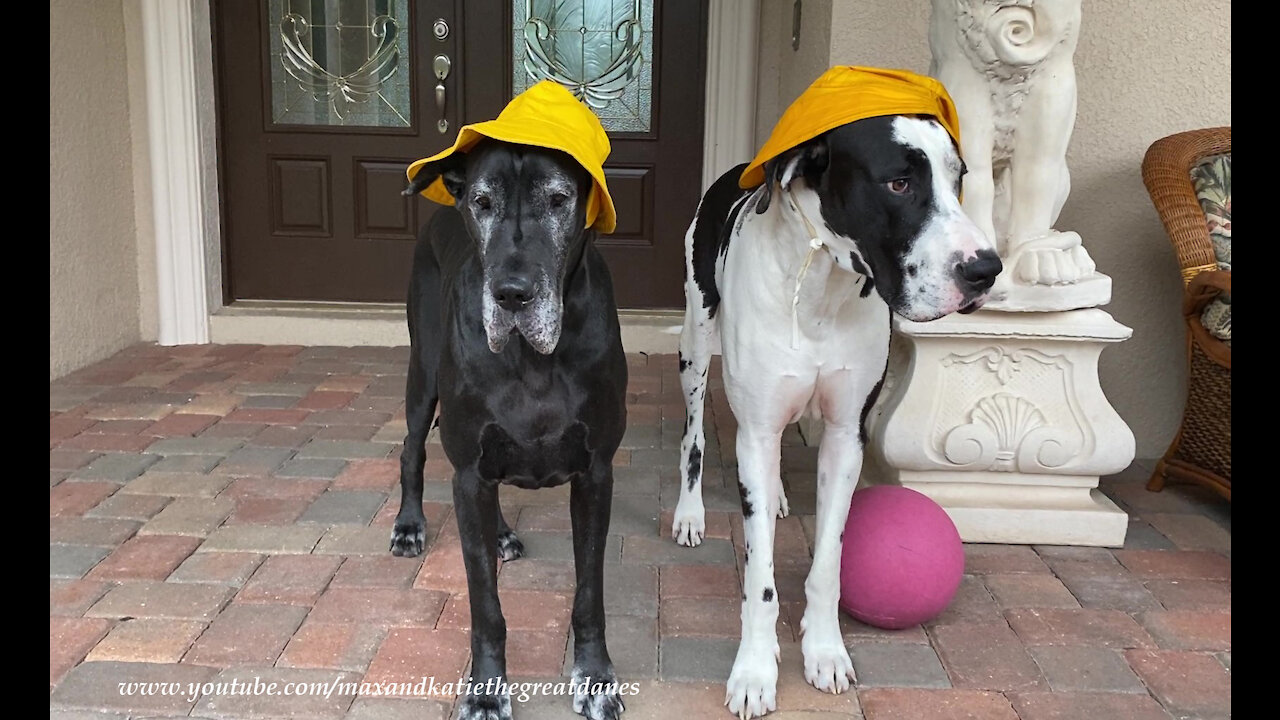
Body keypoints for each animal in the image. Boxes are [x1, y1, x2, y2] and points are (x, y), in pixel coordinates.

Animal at [391, 139, 627, 717]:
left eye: (559, 199)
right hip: (421, 373)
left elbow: (589, 593)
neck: (532, 357)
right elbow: (485, 606)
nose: (512, 295)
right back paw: (408, 525)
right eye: (482, 202)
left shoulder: (596, 474)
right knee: (411, 449)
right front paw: (486, 689)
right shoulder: (469, 473)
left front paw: (595, 677)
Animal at [670, 114, 998, 712]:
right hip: (695, 341)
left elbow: (828, 562)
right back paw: (690, 513)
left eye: (958, 178)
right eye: (899, 183)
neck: (822, 289)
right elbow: (760, 578)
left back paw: (775, 496)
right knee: (694, 436)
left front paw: (824, 650)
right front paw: (754, 671)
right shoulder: (755, 429)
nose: (987, 269)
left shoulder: (847, 437)